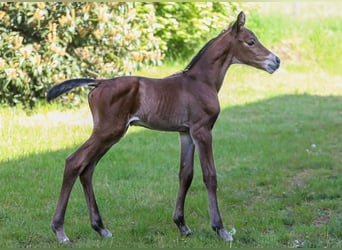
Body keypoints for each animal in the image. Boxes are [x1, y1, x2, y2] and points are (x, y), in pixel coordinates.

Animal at [46, 11, 280, 244]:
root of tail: (99, 83)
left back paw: (101, 228)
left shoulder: (186, 133)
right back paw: (60, 231)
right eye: (250, 41)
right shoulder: (202, 130)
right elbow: (210, 176)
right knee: (74, 162)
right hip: (107, 131)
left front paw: (182, 225)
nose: (276, 61)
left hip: (111, 134)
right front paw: (220, 229)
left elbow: (186, 175)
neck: (201, 82)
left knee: (87, 169)